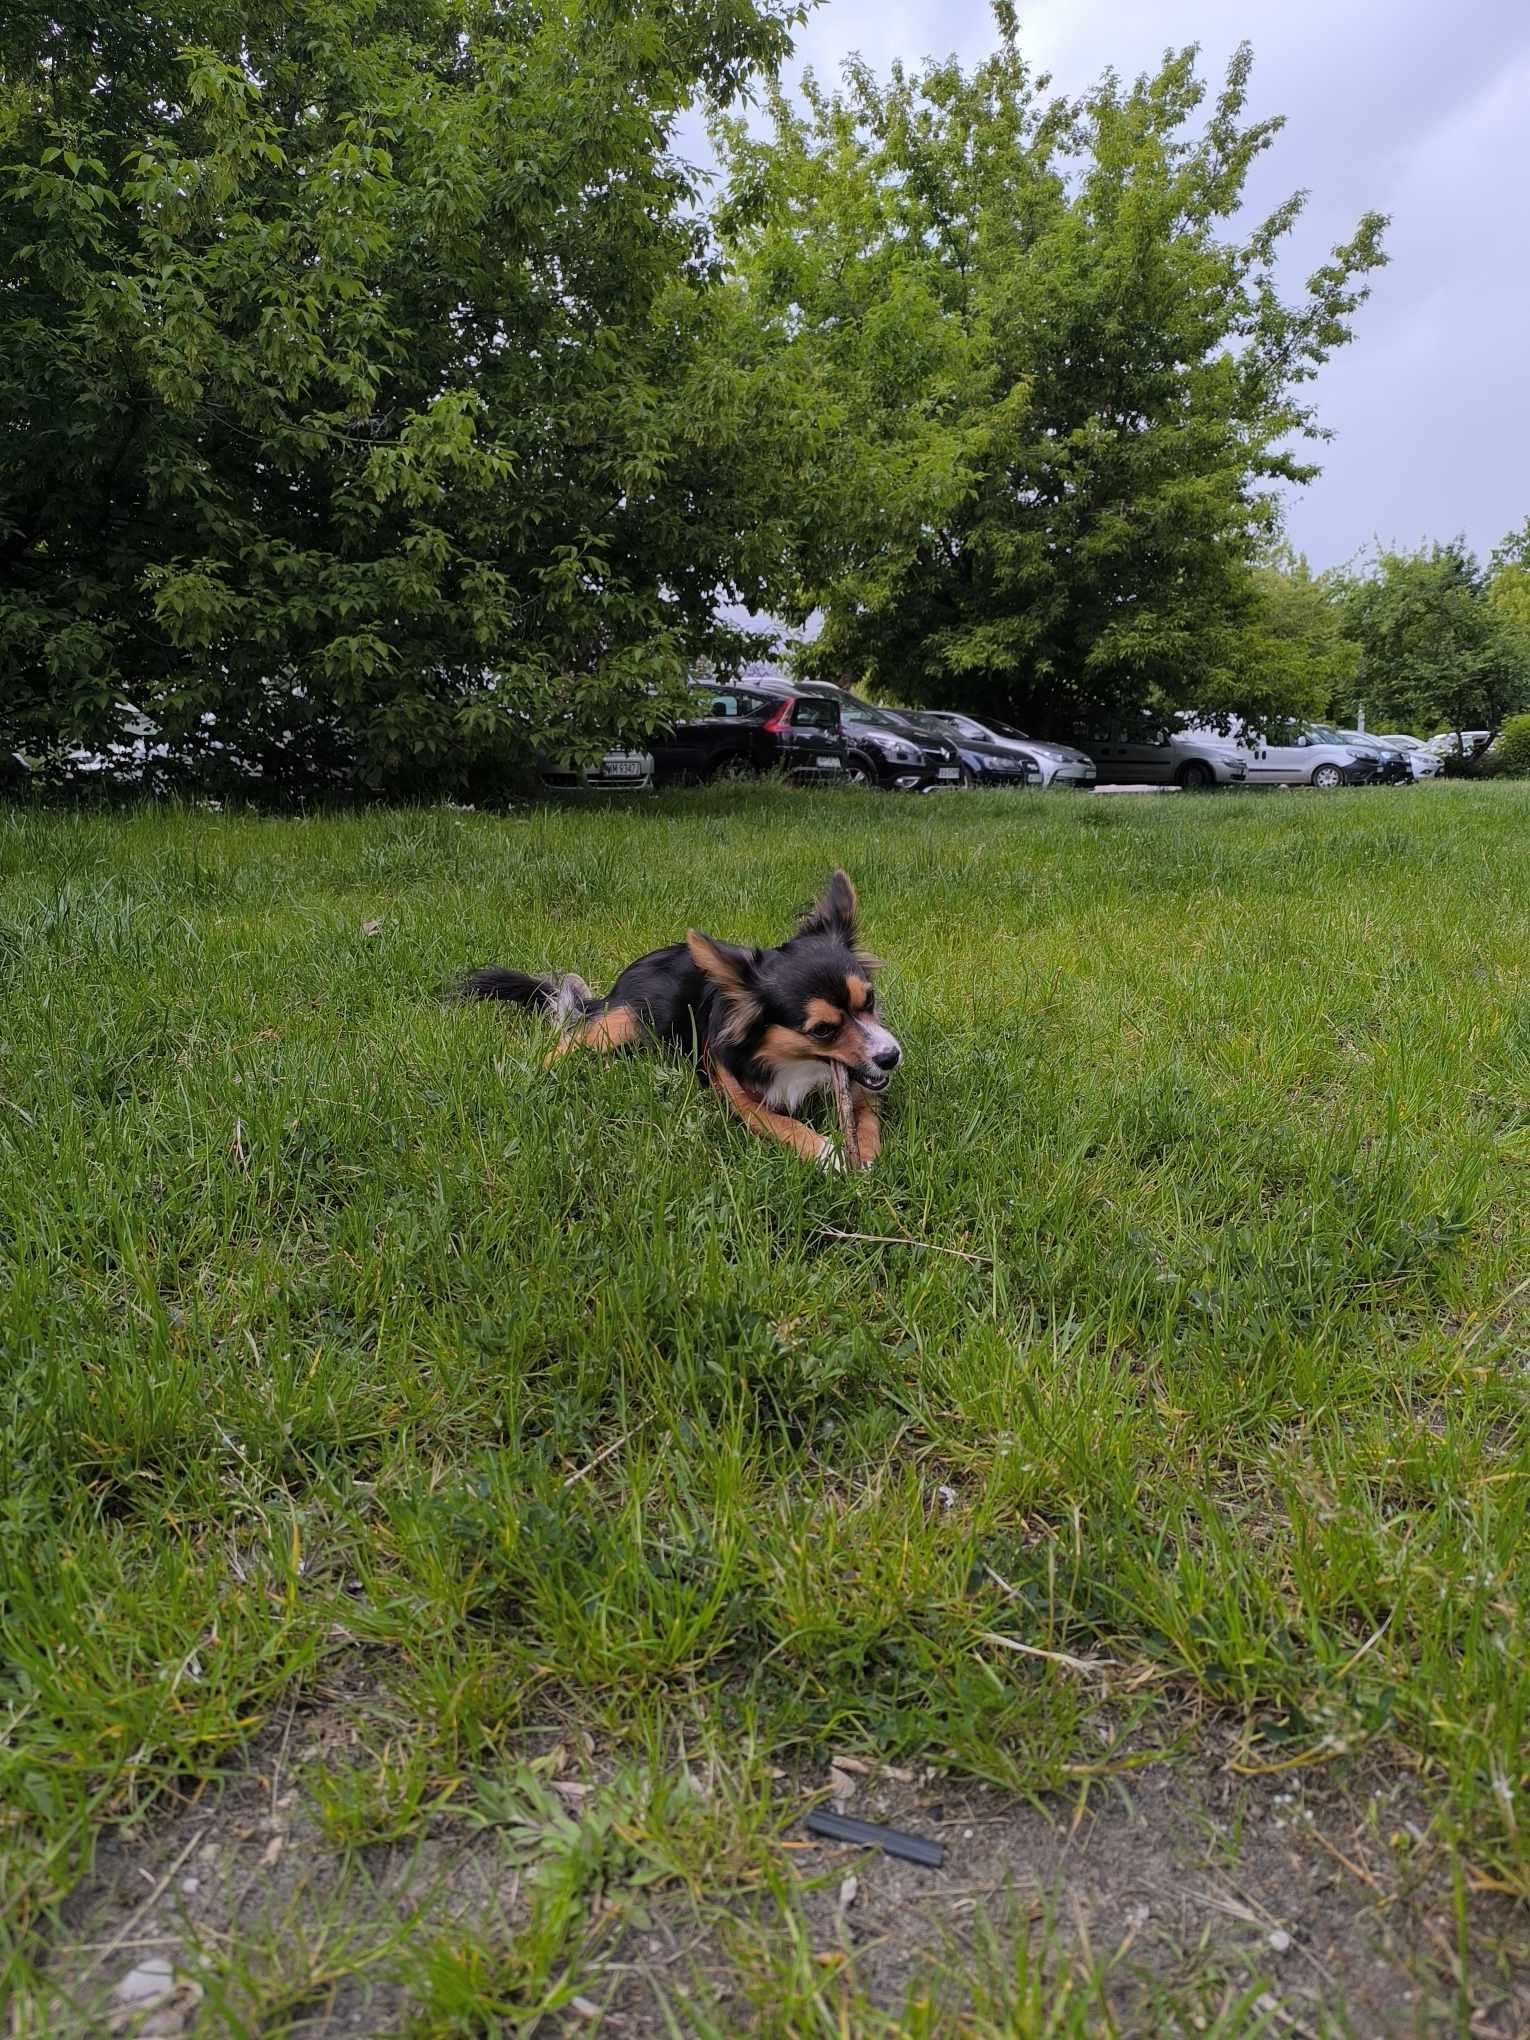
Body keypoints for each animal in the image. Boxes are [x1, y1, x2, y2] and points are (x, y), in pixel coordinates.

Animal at [457, 870, 899, 1168]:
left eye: (870, 1000)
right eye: (822, 1030)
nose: (891, 1056)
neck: (795, 1062)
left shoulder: (859, 1084)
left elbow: (866, 1114)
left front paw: (865, 1155)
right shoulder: (733, 1093)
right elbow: (777, 1121)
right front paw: (825, 1151)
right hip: (623, 1022)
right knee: (570, 1039)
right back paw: (535, 1073)